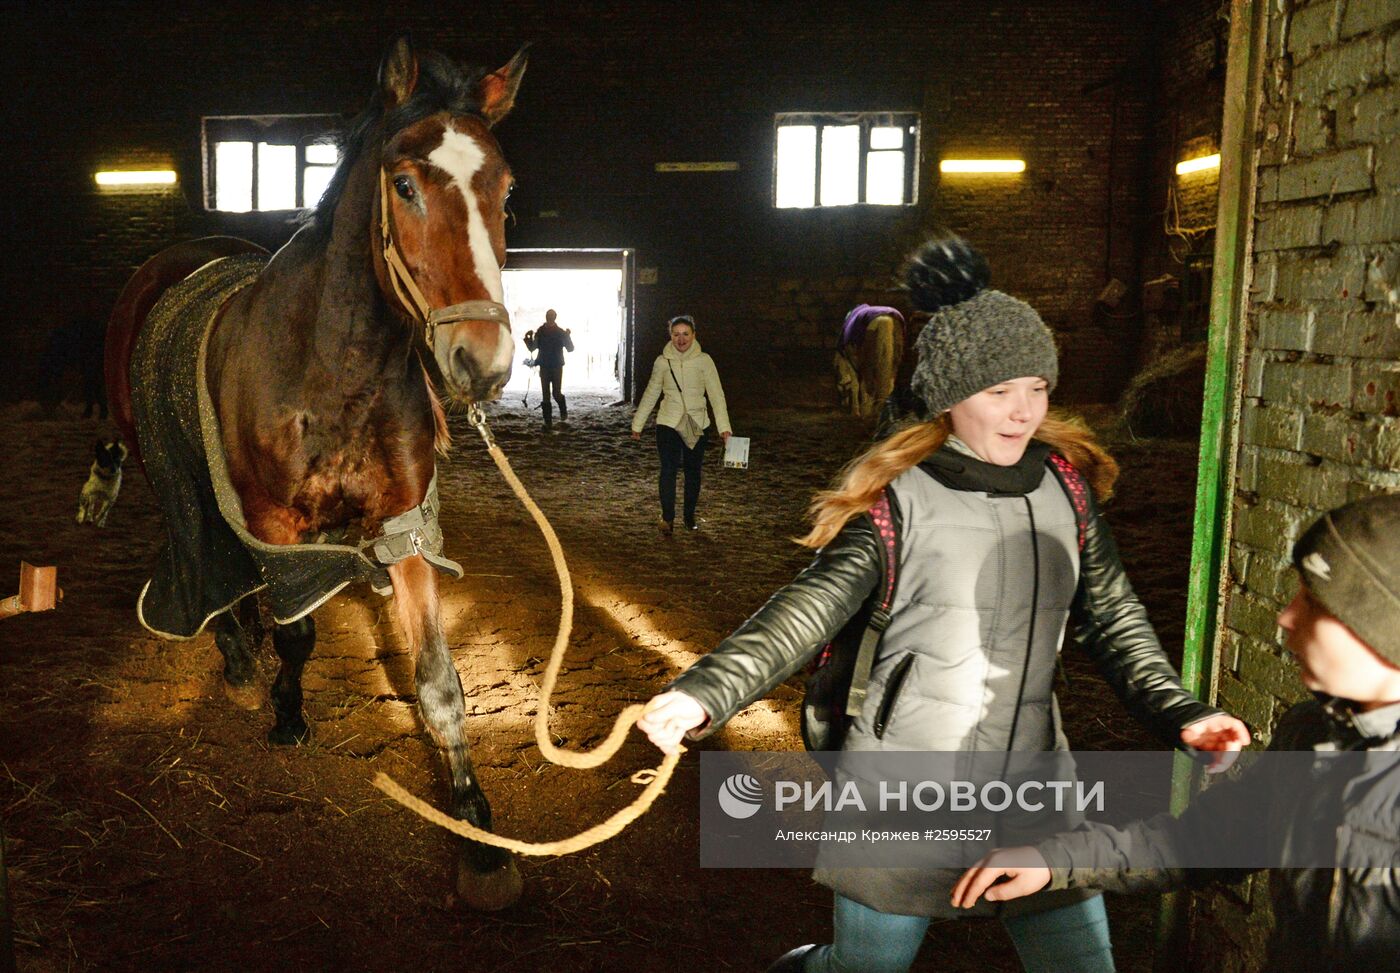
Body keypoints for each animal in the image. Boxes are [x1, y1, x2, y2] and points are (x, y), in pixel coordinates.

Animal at [103, 34, 526, 907]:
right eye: (405, 185)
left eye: (504, 190)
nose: (483, 362)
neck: (333, 370)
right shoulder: (275, 527)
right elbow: (295, 631)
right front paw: (287, 712)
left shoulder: (404, 528)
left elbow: (439, 683)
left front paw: (478, 834)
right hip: (170, 474)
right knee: (201, 551)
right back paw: (236, 656)